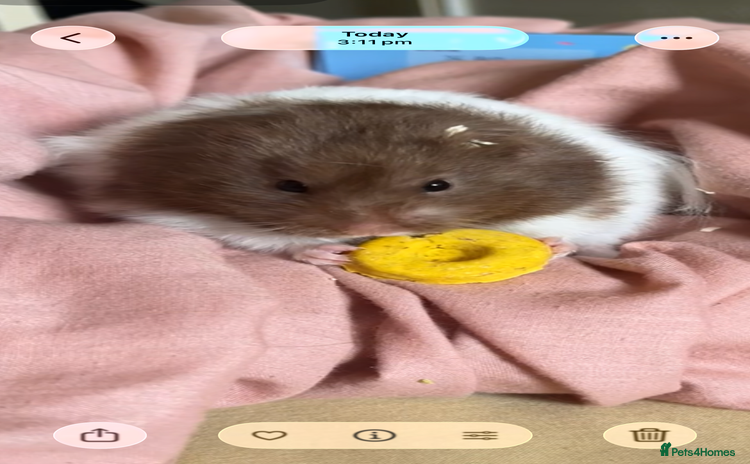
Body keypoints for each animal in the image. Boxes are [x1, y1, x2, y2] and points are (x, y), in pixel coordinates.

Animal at [42, 86, 709, 265]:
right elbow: (271, 238)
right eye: (290, 186)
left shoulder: (592, 201)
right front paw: (329, 254)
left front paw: (548, 243)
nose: (368, 225)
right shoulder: (188, 212)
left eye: (438, 185)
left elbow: (571, 228)